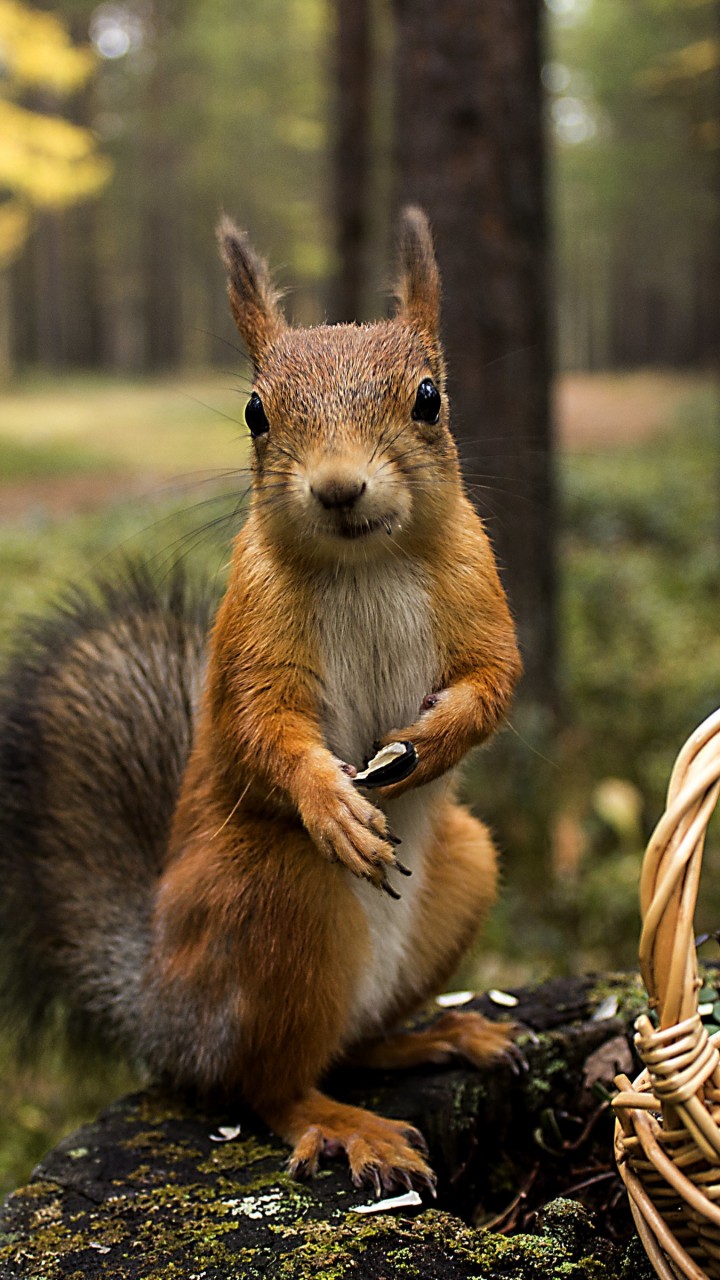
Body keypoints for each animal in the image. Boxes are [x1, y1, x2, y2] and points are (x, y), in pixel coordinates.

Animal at [0, 206, 521, 1194]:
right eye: (254, 412)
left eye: (428, 397)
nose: (339, 488)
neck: (367, 562)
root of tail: (162, 1013)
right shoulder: (251, 630)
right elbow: (260, 729)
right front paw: (333, 802)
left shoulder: (480, 596)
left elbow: (493, 685)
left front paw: (427, 746)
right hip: (275, 899)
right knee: (267, 1084)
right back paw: (346, 1125)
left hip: (467, 867)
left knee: (351, 1045)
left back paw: (440, 1035)